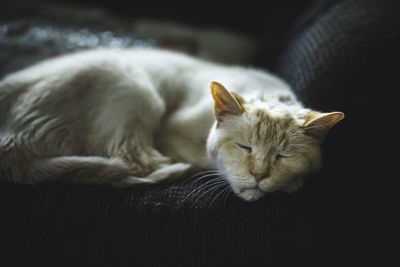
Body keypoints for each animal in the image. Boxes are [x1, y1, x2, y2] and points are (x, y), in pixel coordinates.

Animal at [0, 47, 344, 201]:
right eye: (244, 147)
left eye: (283, 156)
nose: (259, 175)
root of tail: (12, 151)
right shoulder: (171, 133)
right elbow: (204, 161)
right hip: (136, 86)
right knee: (136, 163)